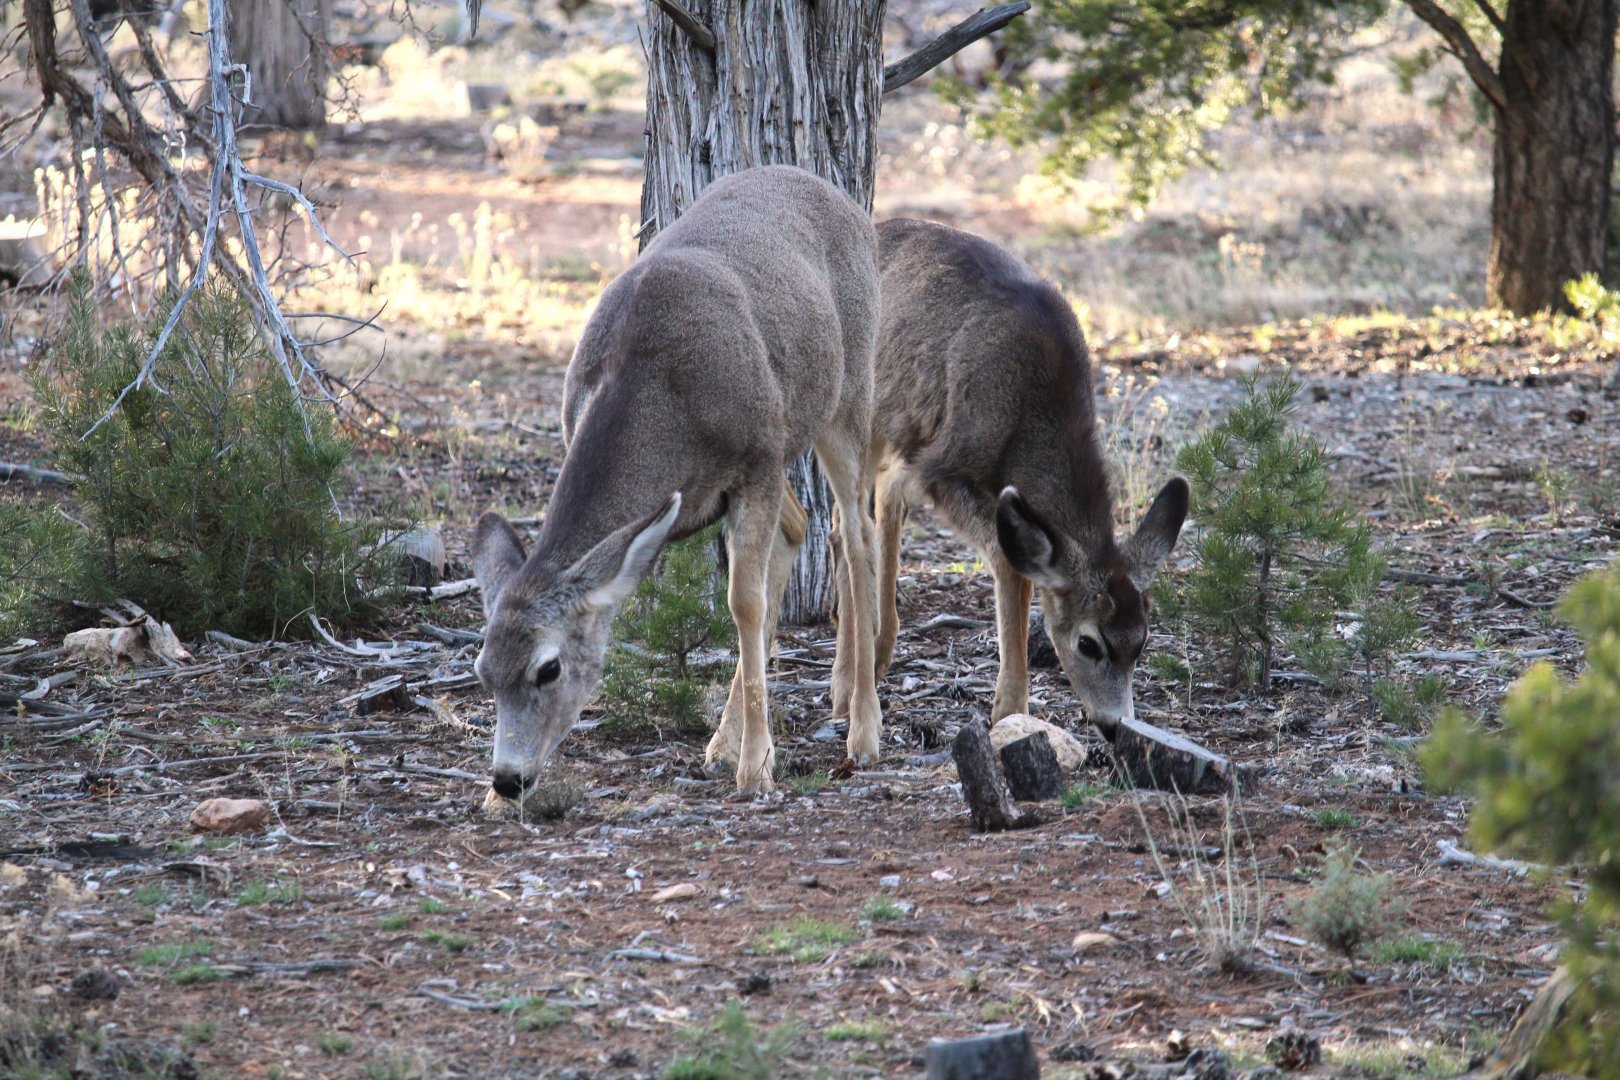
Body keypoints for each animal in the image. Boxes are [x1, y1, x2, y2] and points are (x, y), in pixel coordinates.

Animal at [470, 165, 884, 798]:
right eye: (483, 671)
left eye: (549, 667)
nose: (508, 779)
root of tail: (841, 198)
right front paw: (743, 750)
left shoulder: (758, 457)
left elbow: (744, 603)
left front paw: (756, 768)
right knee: (801, 524)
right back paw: (722, 743)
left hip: (849, 392)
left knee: (855, 530)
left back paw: (862, 730)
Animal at [849, 217, 1190, 738]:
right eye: (1088, 643)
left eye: (1143, 642)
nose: (1114, 724)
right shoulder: (945, 465)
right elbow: (1011, 563)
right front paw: (1010, 708)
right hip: (863, 410)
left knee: (883, 496)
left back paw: (881, 647)